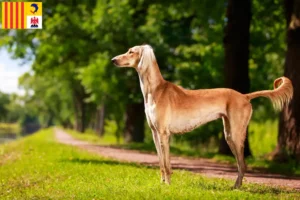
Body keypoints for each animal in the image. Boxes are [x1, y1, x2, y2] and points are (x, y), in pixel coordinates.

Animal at [111, 44, 292, 188]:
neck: (155, 90)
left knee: (243, 164)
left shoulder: (164, 134)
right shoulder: (155, 133)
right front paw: (162, 183)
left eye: (131, 51)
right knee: (241, 163)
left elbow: (168, 164)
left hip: (236, 133)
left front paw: (168, 185)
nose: (113, 60)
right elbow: (161, 162)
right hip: (229, 133)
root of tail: (244, 96)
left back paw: (237, 188)